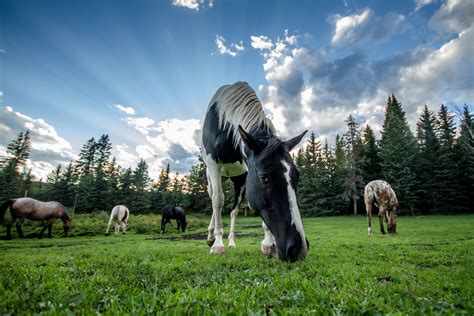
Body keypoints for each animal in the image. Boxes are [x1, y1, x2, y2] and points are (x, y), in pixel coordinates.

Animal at [199, 81, 308, 262]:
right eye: (264, 178)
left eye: (297, 176)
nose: (298, 249)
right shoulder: (213, 163)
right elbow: (218, 201)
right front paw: (217, 244)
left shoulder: (247, 174)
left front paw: (268, 245)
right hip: (213, 176)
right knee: (214, 197)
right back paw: (211, 237)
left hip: (239, 181)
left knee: (234, 211)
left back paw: (231, 242)